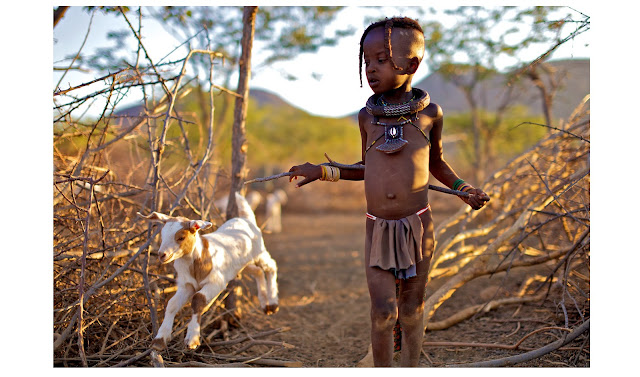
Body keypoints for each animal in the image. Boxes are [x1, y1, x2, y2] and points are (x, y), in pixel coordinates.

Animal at [138, 194, 278, 350]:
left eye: (181, 237)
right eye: (162, 235)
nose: (162, 254)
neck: (197, 261)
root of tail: (246, 219)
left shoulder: (216, 282)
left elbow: (198, 298)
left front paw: (192, 339)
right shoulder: (187, 285)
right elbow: (172, 303)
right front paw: (160, 339)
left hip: (258, 252)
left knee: (271, 266)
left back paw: (273, 304)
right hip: (242, 264)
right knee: (258, 272)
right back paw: (265, 305)